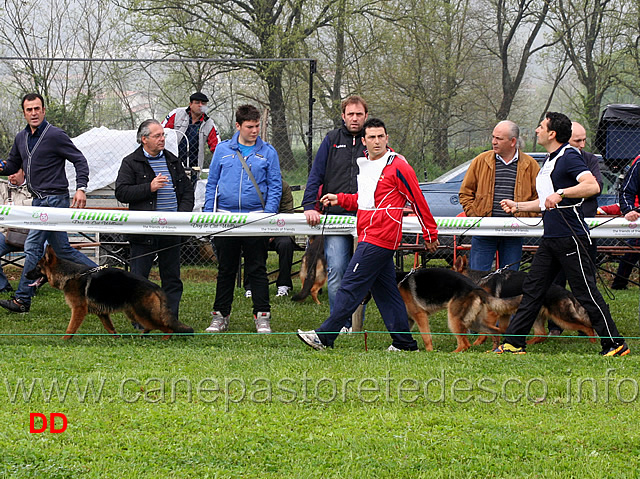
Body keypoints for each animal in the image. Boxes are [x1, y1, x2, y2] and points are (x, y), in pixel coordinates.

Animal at [28, 246, 192, 340]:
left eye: (37, 268)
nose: (26, 274)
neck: (70, 275)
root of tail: (154, 286)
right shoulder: (102, 313)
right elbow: (110, 327)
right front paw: (116, 338)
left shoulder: (78, 309)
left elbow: (71, 327)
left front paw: (63, 340)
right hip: (133, 313)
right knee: (153, 326)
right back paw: (142, 336)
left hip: (142, 314)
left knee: (167, 327)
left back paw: (164, 339)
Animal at [450, 256, 596, 344]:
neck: (477, 281)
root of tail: (566, 291)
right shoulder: (504, 314)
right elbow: (502, 328)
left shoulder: (492, 313)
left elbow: (484, 331)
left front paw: (478, 343)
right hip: (535, 314)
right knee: (541, 334)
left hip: (562, 318)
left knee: (588, 326)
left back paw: (593, 343)